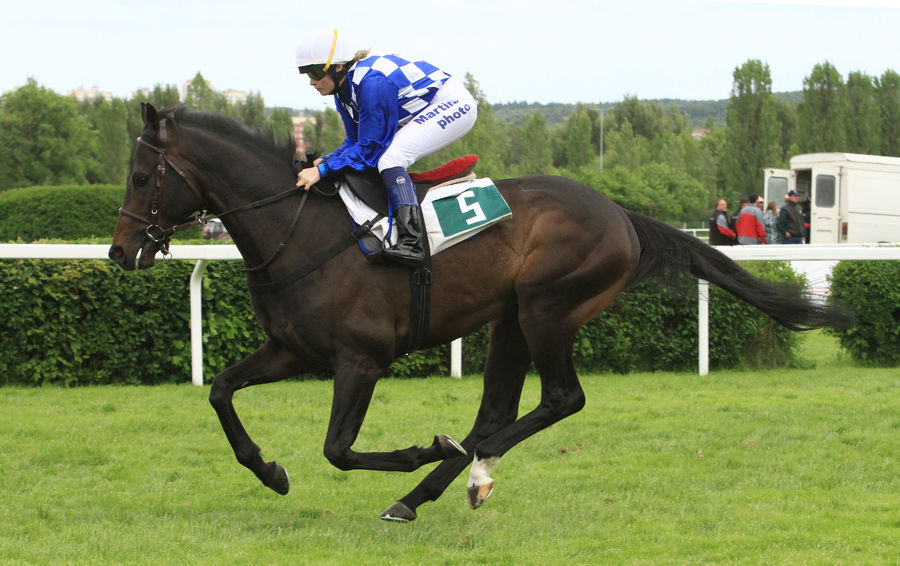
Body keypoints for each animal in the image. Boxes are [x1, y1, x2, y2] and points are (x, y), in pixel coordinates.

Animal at [109, 103, 848, 524]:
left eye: (143, 178)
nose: (119, 252)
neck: (302, 231)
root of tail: (621, 214)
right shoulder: (293, 350)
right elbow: (221, 390)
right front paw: (270, 471)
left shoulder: (361, 358)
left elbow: (339, 448)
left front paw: (418, 450)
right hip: (510, 318)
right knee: (497, 410)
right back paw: (433, 487)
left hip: (549, 307)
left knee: (560, 400)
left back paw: (463, 468)